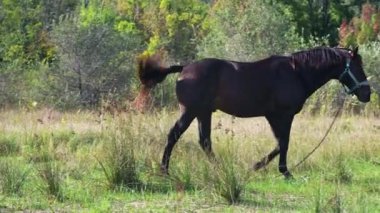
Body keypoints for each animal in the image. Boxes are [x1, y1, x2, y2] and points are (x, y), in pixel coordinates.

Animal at [137, 46, 372, 178]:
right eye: (357, 66)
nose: (367, 93)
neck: (296, 72)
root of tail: (185, 68)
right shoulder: (282, 115)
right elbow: (283, 143)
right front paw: (281, 171)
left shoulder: (275, 117)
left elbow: (279, 144)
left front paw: (259, 167)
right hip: (191, 111)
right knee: (174, 135)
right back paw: (164, 170)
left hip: (204, 113)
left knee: (205, 142)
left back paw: (219, 168)